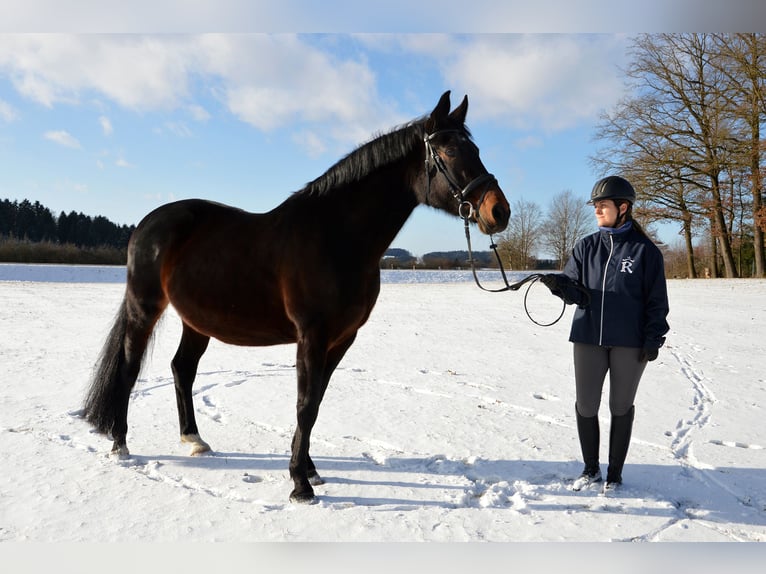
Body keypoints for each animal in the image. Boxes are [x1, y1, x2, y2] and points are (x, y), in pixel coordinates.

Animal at [83, 90, 510, 503]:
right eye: (450, 152)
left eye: (476, 150)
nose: (499, 211)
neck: (337, 238)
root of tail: (147, 223)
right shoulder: (312, 336)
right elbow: (305, 406)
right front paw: (299, 486)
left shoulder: (341, 339)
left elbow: (316, 402)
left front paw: (310, 470)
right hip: (144, 308)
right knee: (129, 368)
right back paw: (120, 445)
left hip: (197, 320)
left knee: (182, 369)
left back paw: (194, 439)